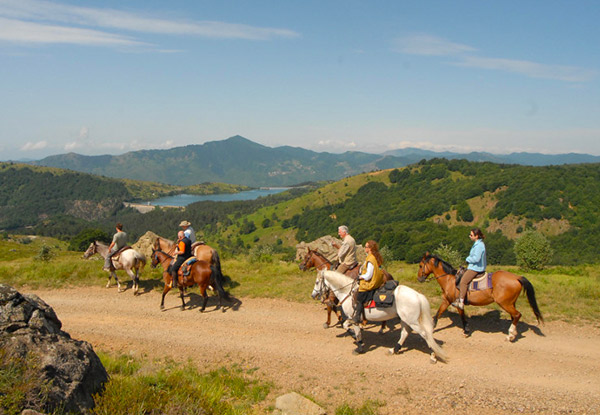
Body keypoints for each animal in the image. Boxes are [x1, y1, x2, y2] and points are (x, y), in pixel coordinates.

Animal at [314, 270, 446, 364]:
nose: (313, 294)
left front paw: (359, 346)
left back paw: (433, 356)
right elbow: (349, 327)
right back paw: (394, 349)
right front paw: (356, 339)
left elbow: (349, 327)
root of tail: (418, 295)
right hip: (405, 319)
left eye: (317, 282)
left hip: (413, 321)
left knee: (425, 334)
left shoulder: (354, 318)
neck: (348, 292)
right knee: (405, 333)